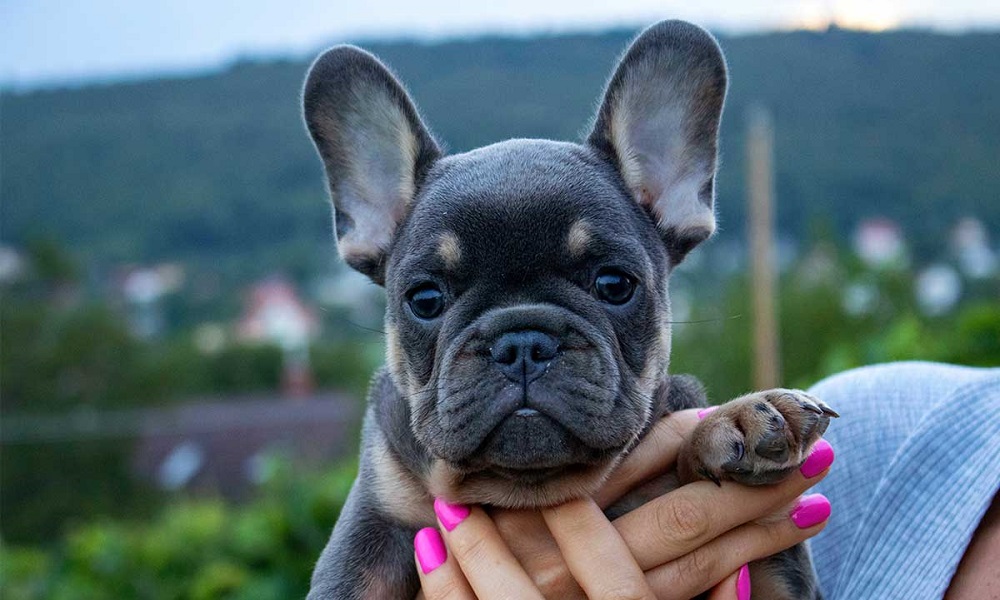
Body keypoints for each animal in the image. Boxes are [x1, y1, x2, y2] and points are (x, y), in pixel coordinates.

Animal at [304, 19, 836, 600]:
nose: (522, 342)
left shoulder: (767, 563)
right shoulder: (375, 524)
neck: (524, 494)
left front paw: (731, 421)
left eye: (614, 284)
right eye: (425, 299)